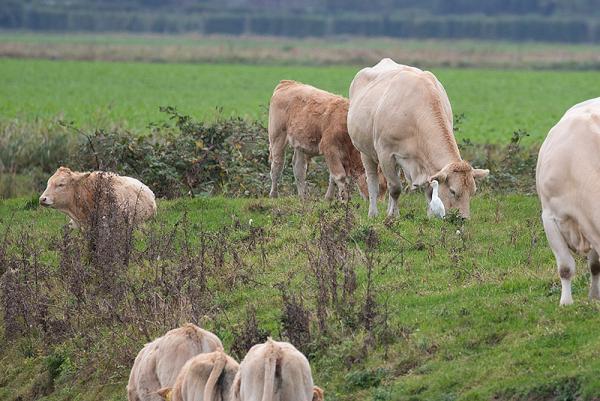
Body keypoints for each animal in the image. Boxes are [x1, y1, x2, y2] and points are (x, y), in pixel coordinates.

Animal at [346, 57, 488, 217]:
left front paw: (431, 215)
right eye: (453, 191)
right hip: (365, 151)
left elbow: (430, 190)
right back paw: (373, 213)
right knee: (372, 181)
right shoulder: (385, 153)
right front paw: (393, 216)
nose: (463, 218)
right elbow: (395, 188)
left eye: (472, 192)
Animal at [536, 96, 600, 304]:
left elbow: (595, 265)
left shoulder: (590, 225)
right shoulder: (549, 218)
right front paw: (566, 302)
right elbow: (565, 267)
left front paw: (594, 297)